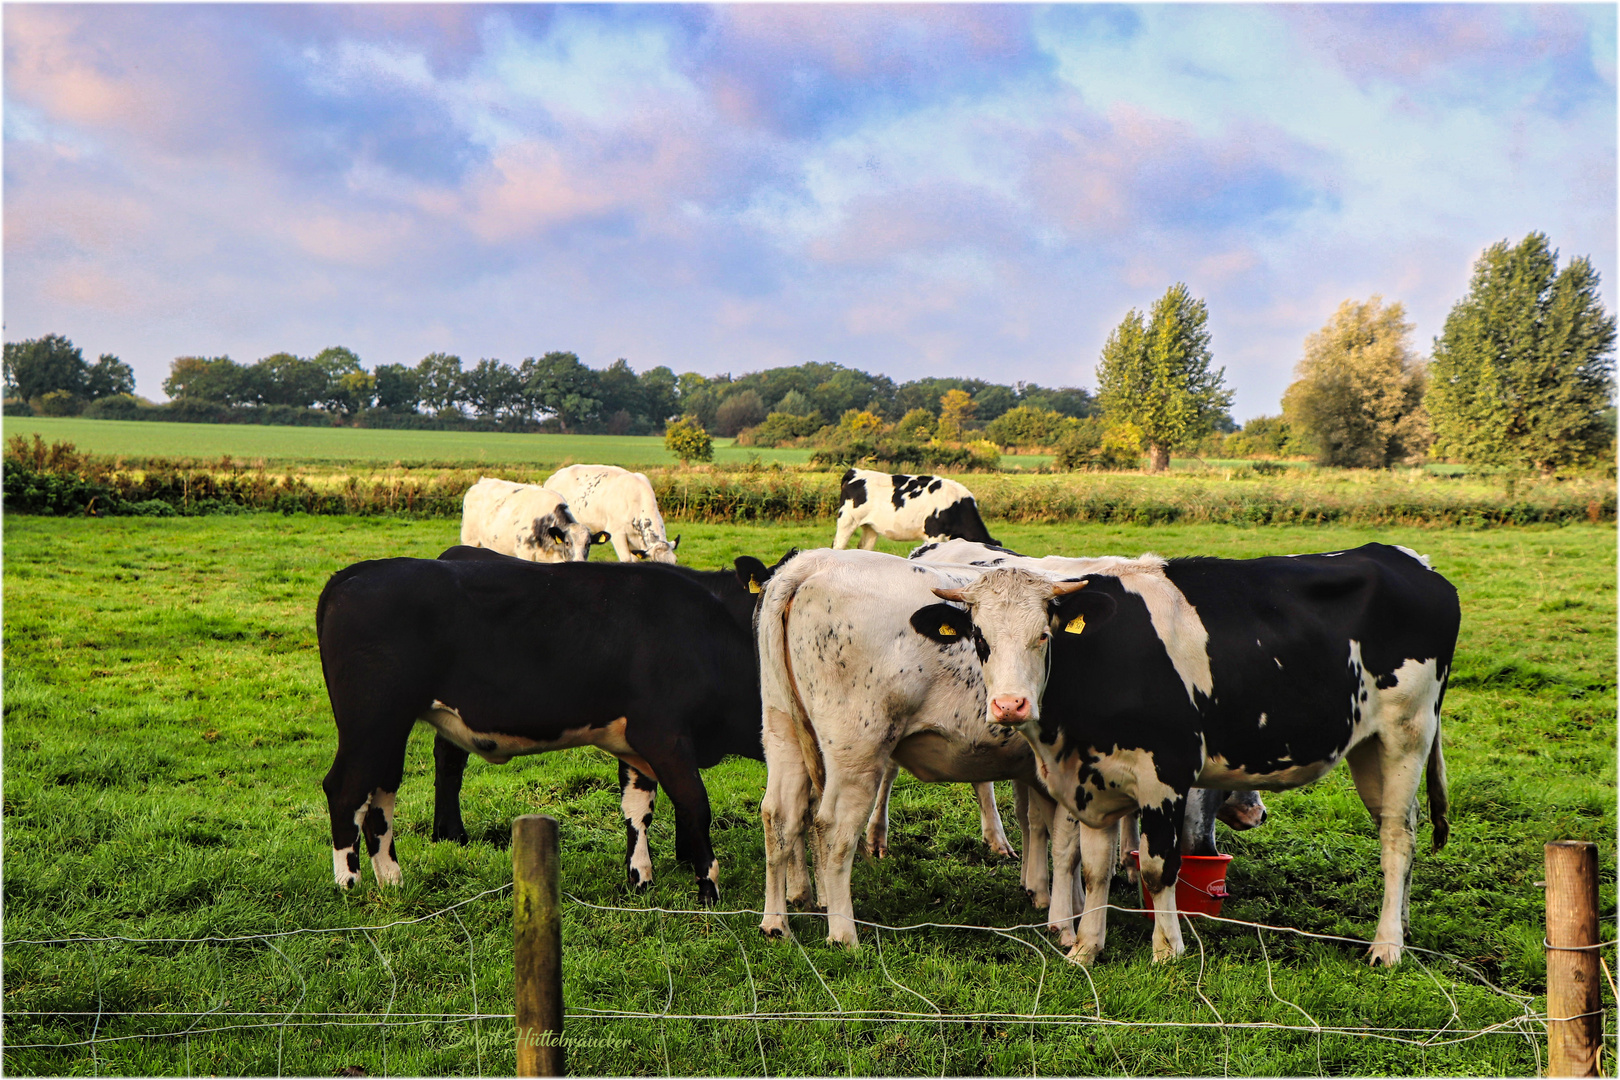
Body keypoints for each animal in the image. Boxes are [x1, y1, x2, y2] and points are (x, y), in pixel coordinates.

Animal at [314, 550, 784, 906]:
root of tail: (356, 572)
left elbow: (638, 809)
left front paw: (641, 878)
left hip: (390, 727)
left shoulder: (637, 744)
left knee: (381, 792)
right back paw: (349, 884)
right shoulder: (665, 736)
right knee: (345, 787)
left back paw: (392, 879)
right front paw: (708, 888)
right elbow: (694, 804)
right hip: (371, 719)